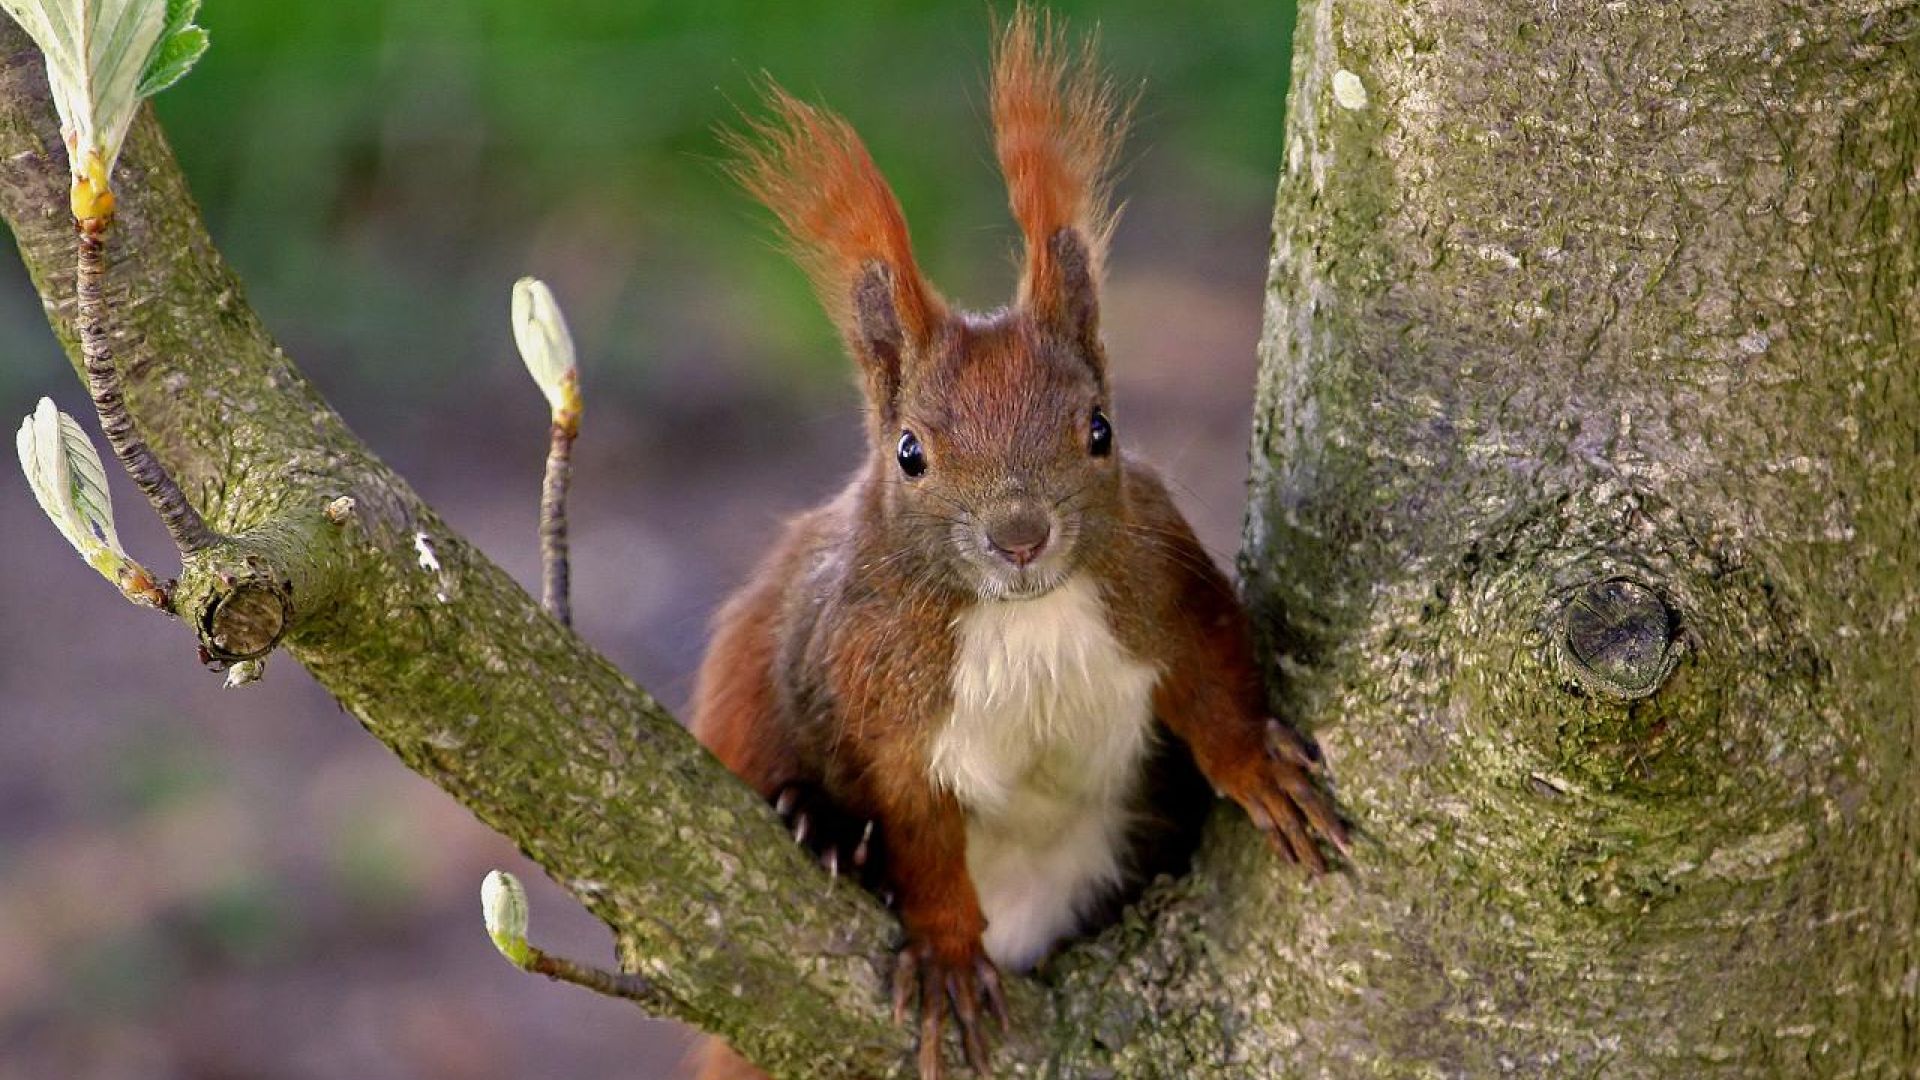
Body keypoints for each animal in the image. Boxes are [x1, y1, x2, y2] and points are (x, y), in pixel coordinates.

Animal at [695, 10, 1351, 1076]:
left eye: (1100, 431)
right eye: (910, 453)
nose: (1020, 536)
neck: (1025, 617)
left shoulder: (1161, 576)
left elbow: (1214, 678)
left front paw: (1258, 766)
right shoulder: (881, 693)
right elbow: (919, 835)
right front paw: (947, 952)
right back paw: (818, 826)